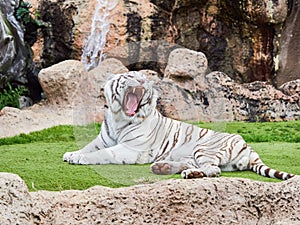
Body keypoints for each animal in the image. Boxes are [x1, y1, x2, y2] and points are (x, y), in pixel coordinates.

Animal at [63, 71, 296, 180]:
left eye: (143, 77)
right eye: (130, 76)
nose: (142, 82)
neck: (119, 117)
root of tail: (250, 148)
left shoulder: (131, 148)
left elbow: (103, 154)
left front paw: (80, 159)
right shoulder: (103, 139)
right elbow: (89, 147)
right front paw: (71, 154)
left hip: (204, 148)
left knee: (213, 170)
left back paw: (187, 174)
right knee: (198, 166)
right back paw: (164, 167)